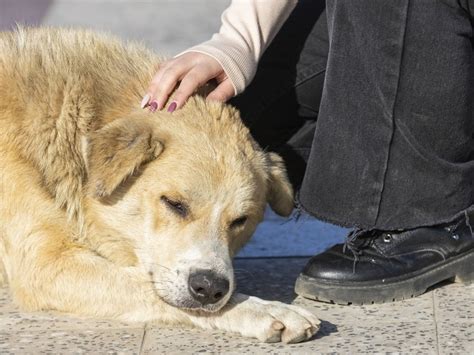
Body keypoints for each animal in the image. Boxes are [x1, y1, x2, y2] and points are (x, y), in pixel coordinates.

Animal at [0, 26, 320, 344]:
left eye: (241, 221)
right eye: (174, 204)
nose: (209, 288)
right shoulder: (45, 266)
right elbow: (148, 286)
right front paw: (262, 310)